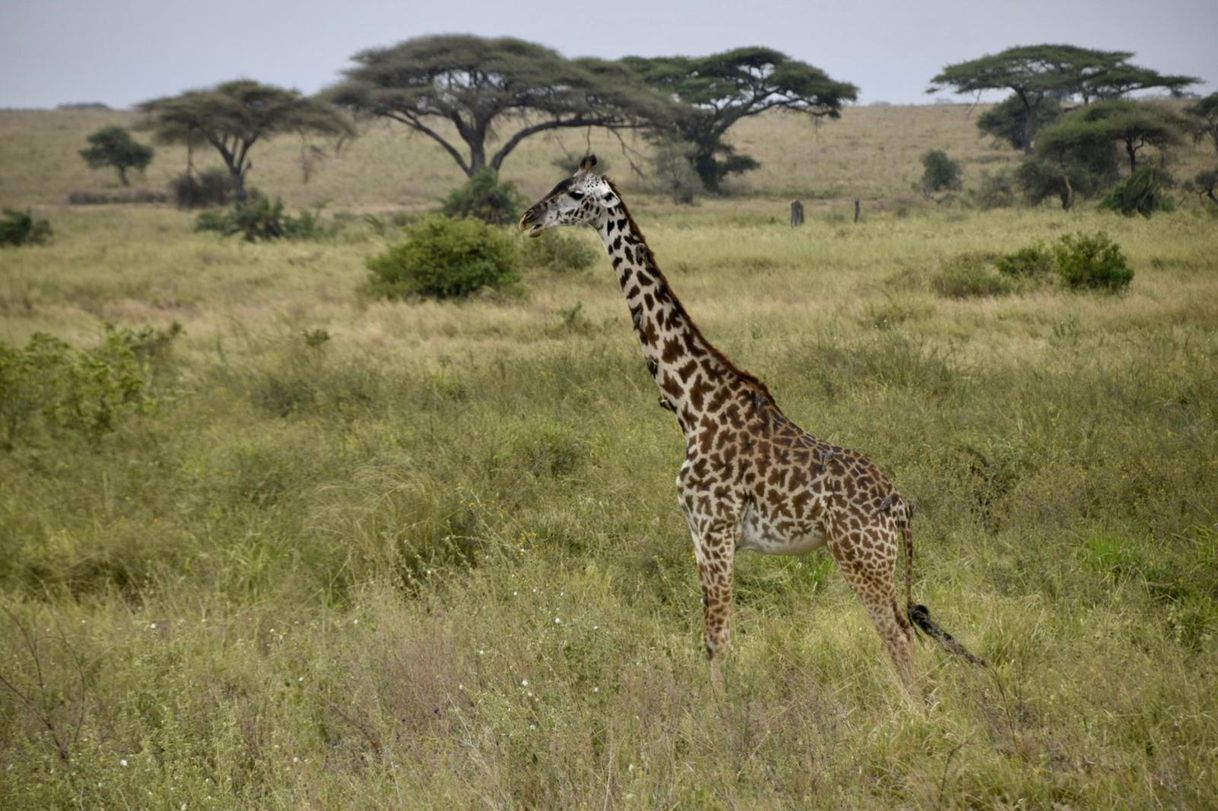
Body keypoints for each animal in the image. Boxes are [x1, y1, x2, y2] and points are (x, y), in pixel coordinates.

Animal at [518, 155, 984, 681]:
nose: (528, 219)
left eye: (576, 195)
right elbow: (715, 636)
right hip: (872, 559)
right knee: (902, 629)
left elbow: (716, 639)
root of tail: (901, 506)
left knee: (898, 634)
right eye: (556, 184)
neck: (691, 404)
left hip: (861, 556)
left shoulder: (713, 529)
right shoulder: (702, 535)